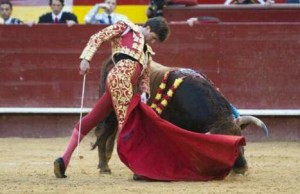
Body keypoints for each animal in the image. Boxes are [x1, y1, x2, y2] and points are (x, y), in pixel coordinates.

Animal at [90, 58, 268, 177]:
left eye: (242, 142)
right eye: (224, 148)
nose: (241, 168)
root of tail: (115, 62)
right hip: (110, 113)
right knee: (102, 134)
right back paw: (104, 167)